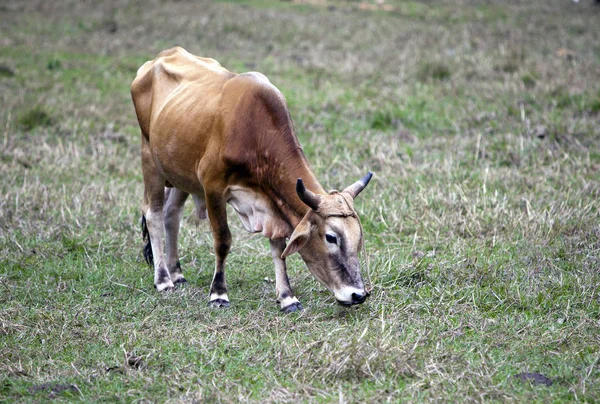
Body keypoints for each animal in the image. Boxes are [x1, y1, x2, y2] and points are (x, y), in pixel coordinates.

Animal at [131, 47, 372, 312]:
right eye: (331, 237)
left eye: (358, 238)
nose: (358, 295)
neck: (255, 134)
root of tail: (162, 56)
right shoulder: (213, 187)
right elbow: (223, 240)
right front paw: (219, 293)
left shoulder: (271, 203)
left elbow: (278, 247)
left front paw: (287, 297)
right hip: (150, 160)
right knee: (153, 214)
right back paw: (163, 279)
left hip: (179, 172)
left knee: (172, 214)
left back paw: (176, 272)